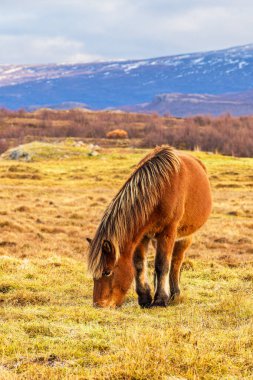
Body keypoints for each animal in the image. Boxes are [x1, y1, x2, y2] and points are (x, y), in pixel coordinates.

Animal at [87, 145, 211, 308]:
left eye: (107, 272)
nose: (98, 305)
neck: (160, 189)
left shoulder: (168, 232)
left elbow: (162, 264)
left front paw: (160, 300)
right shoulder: (143, 235)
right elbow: (139, 264)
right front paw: (145, 298)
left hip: (184, 237)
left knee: (176, 261)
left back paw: (174, 294)